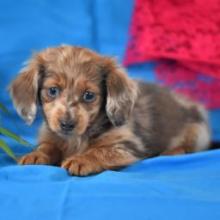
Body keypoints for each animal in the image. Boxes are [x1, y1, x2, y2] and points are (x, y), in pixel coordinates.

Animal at [9, 45, 211, 176]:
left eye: (89, 95)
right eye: (52, 91)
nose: (67, 124)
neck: (77, 138)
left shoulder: (127, 146)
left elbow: (100, 151)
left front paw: (82, 159)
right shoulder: (51, 137)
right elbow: (47, 146)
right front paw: (35, 155)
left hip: (197, 132)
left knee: (188, 148)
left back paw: (172, 152)